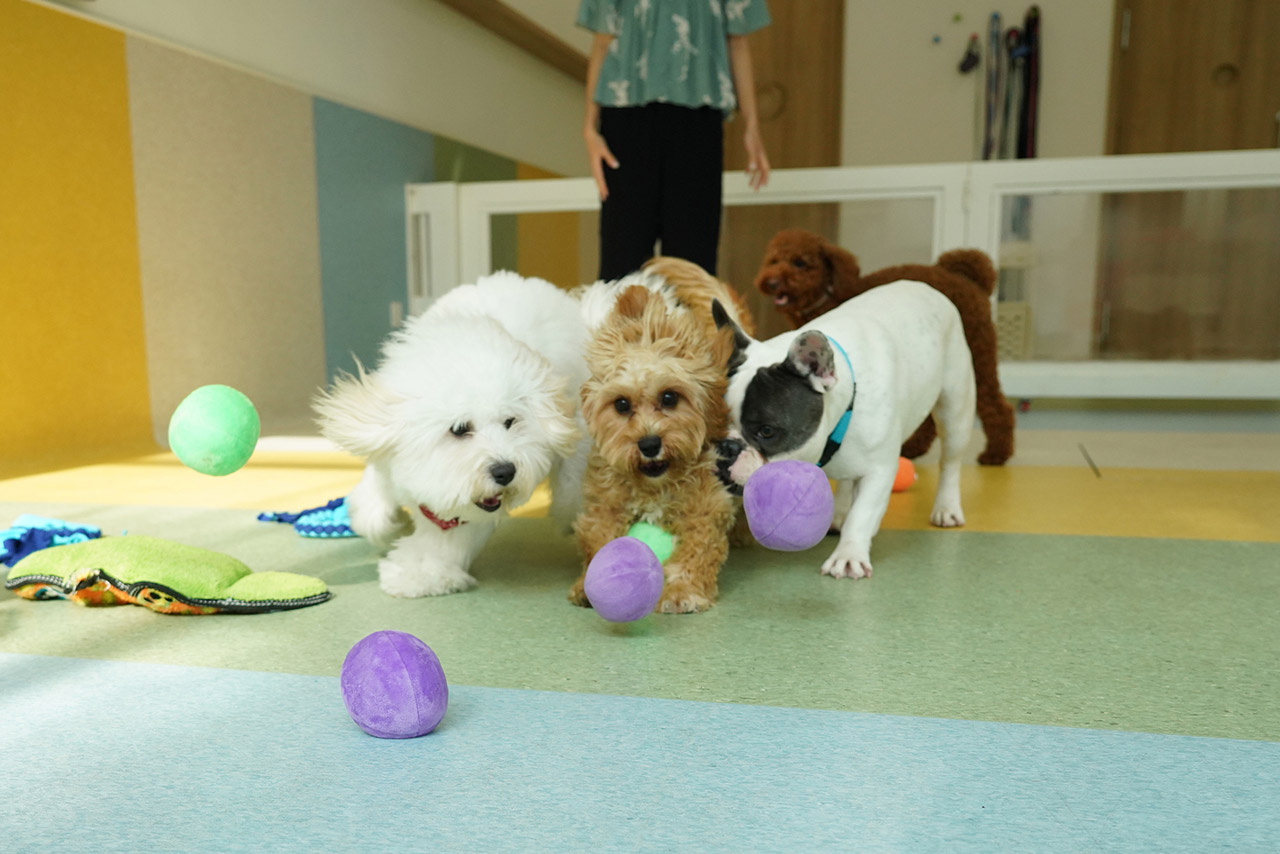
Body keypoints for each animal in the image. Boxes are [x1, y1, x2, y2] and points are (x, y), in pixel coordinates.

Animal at [314, 272, 586, 594]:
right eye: (459, 429)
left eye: (510, 422)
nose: (505, 471)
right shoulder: (386, 455)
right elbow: (373, 507)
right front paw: (385, 522)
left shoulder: (469, 515)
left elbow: (444, 545)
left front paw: (416, 574)